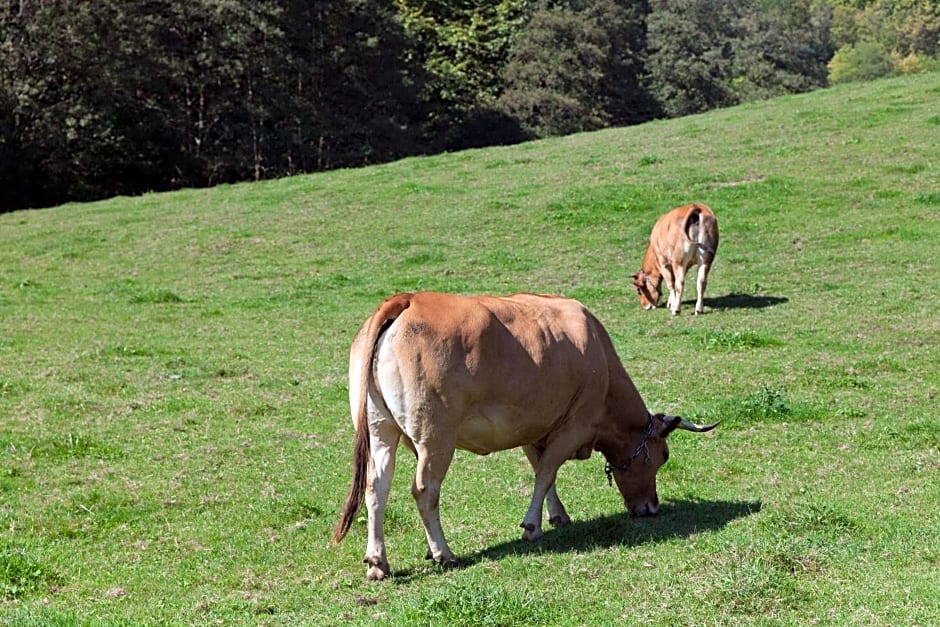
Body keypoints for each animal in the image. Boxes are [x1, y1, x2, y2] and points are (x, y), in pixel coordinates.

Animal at [334, 292, 716, 580]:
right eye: (663, 456)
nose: (651, 507)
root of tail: (409, 299)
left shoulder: (537, 426)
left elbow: (543, 472)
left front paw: (557, 515)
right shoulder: (575, 424)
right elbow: (546, 472)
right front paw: (532, 526)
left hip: (381, 430)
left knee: (376, 488)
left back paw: (378, 562)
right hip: (435, 437)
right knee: (424, 490)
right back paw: (443, 552)